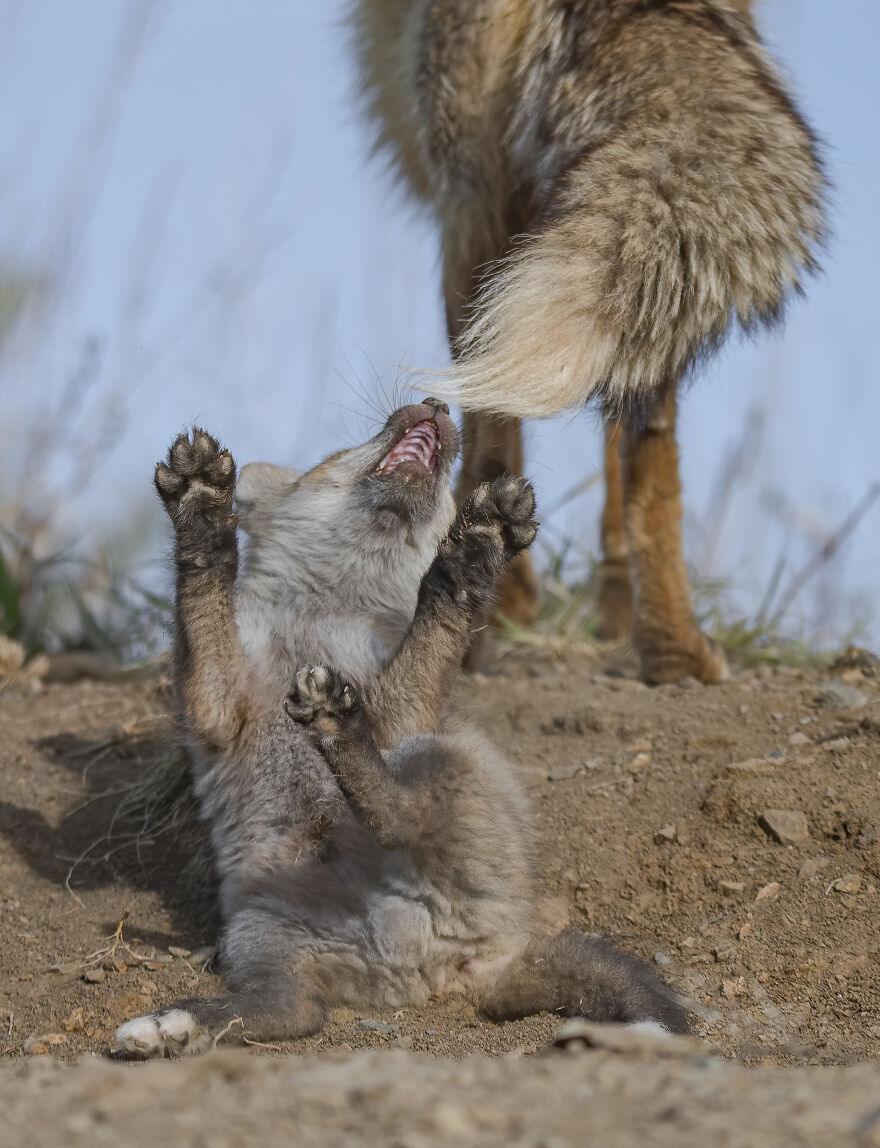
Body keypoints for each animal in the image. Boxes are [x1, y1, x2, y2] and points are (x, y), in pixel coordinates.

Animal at [114, 402, 686, 1058]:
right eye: (339, 452)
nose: (435, 405)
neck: (323, 618)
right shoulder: (216, 708)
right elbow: (204, 593)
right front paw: (202, 513)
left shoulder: (402, 713)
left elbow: (438, 621)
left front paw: (473, 554)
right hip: (258, 936)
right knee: (291, 1012)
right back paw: (173, 1025)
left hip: (446, 757)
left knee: (400, 816)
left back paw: (341, 737)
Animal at [351, 0, 826, 683]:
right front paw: (612, 606)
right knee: (646, 433)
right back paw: (670, 650)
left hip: (473, 209)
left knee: (491, 428)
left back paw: (484, 612)